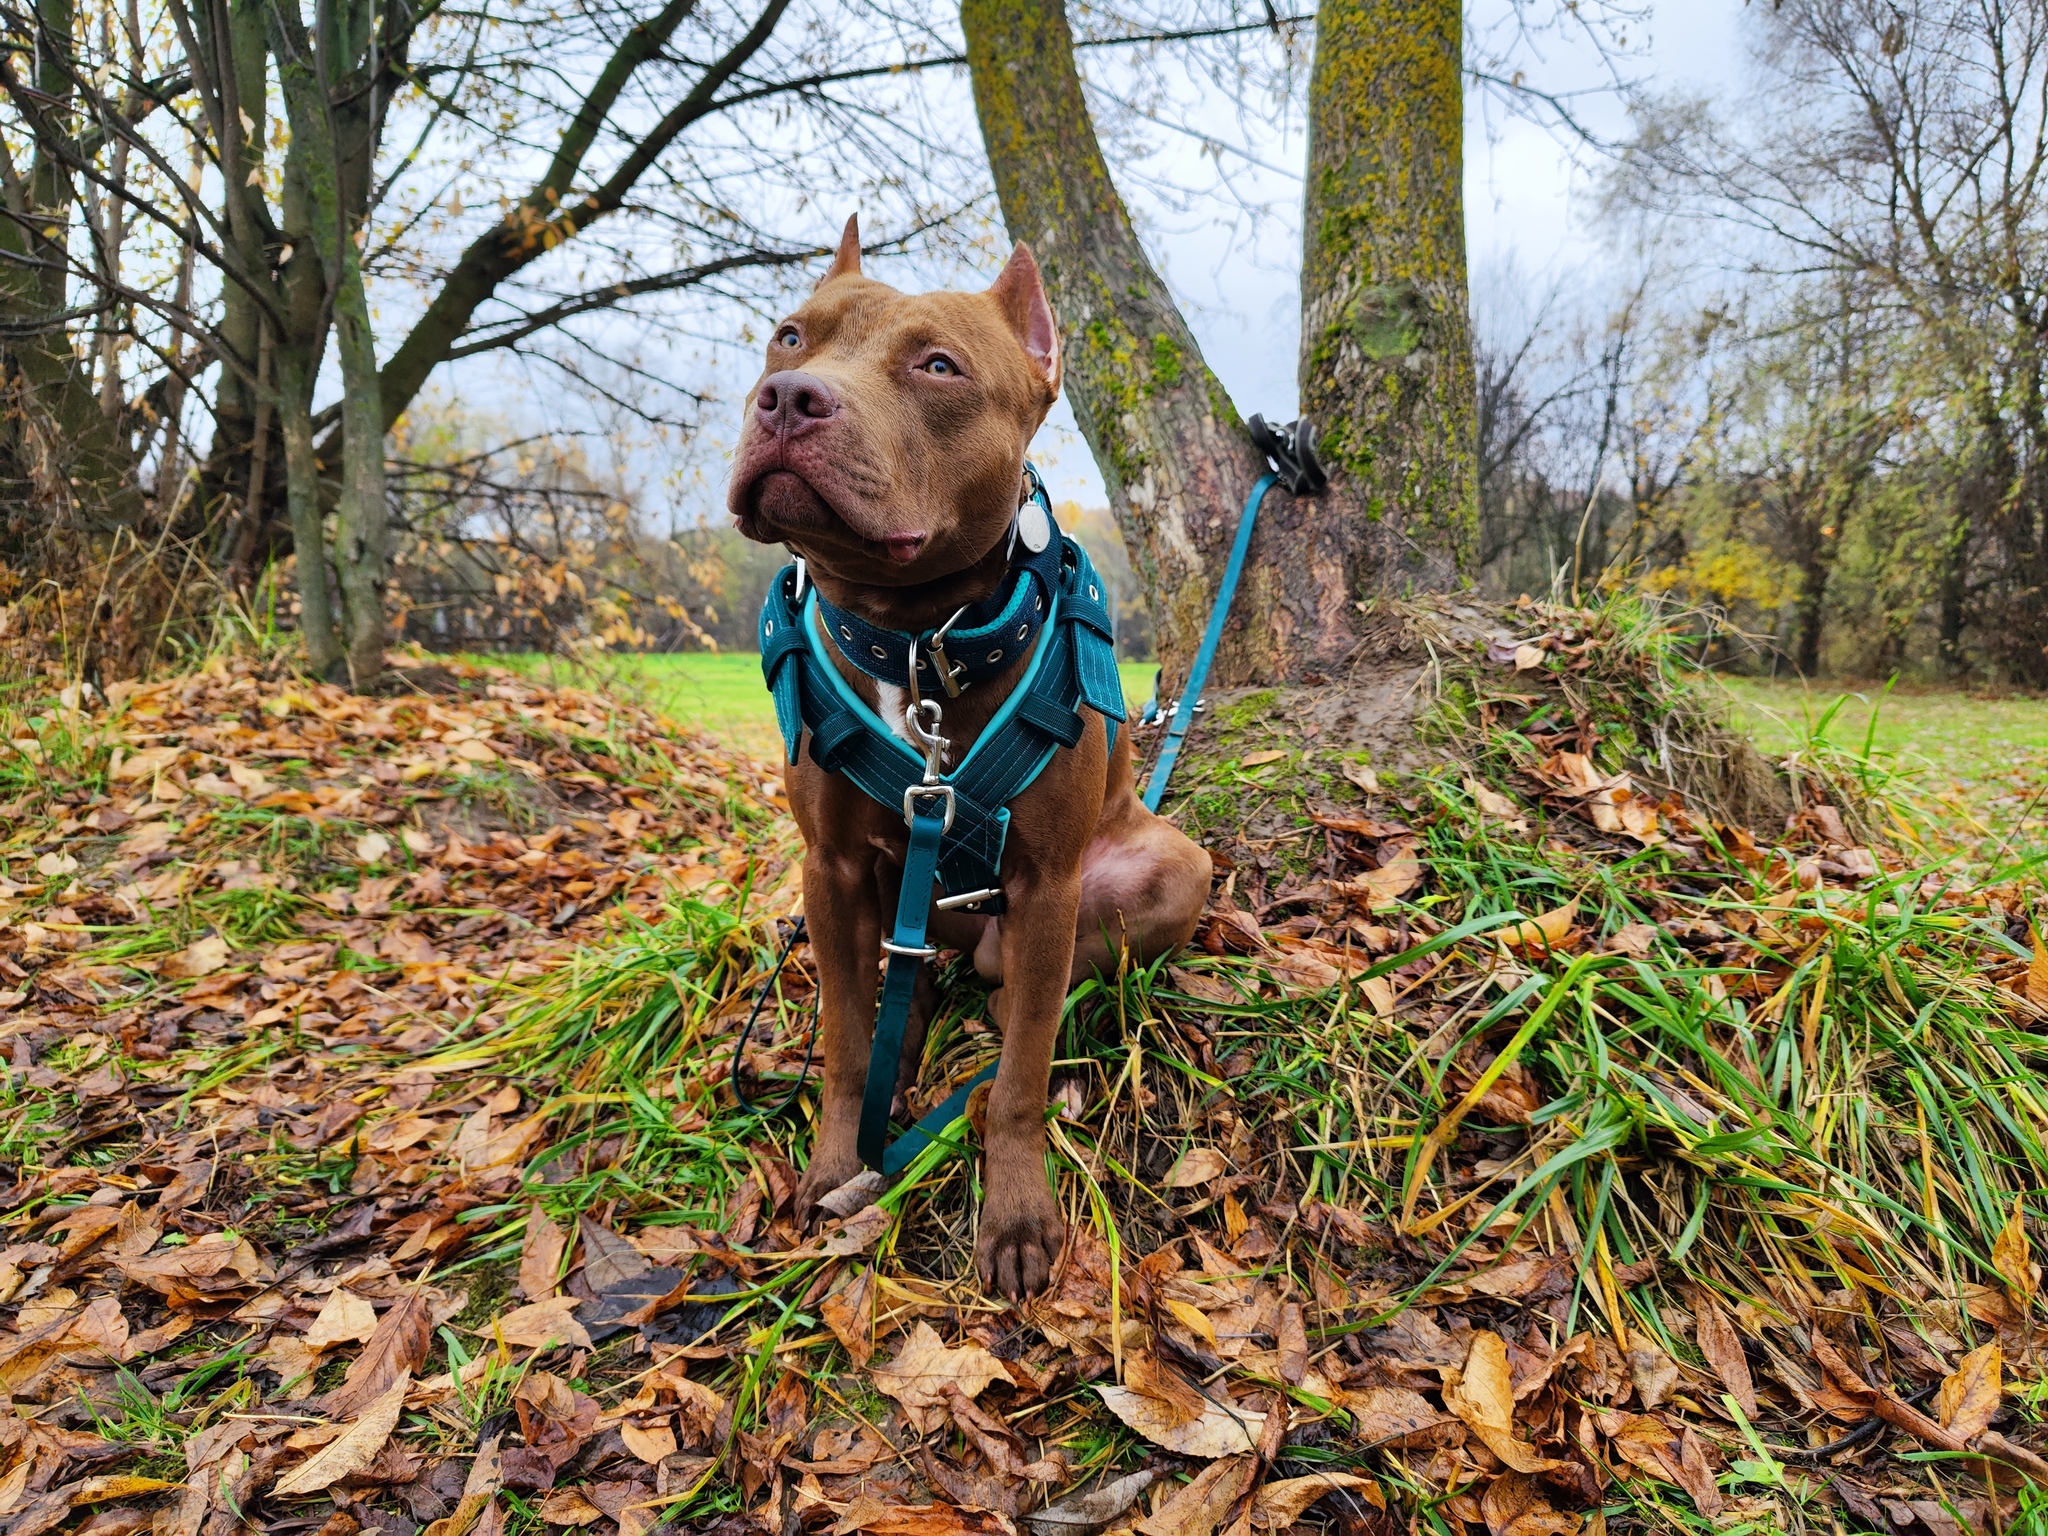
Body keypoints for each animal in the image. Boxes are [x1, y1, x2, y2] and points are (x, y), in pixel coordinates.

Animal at [729, 219, 1204, 1302]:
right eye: (788, 336)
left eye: (937, 366)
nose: (788, 397)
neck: (916, 641)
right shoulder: (829, 872)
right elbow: (845, 1037)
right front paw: (838, 1161)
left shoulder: (1044, 880)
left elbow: (1022, 1075)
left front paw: (1018, 1213)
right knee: (901, 985)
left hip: (1163, 870)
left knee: (1025, 982)